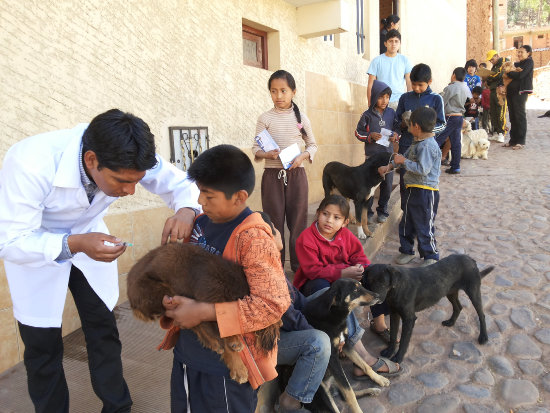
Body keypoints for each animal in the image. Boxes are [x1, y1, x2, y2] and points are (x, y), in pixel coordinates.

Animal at [128, 241, 282, 384]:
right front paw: (238, 365)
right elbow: (224, 332)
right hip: (164, 291)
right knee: (195, 323)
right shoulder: (210, 303)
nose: (272, 344)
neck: (232, 283)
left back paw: (212, 342)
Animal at [294, 276, 388, 412]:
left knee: (344, 395)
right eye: (355, 290)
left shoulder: (346, 345)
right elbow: (349, 392)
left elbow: (365, 365)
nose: (378, 296)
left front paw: (379, 378)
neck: (334, 312)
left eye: (361, 285)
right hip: (321, 393)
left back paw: (372, 390)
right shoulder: (332, 358)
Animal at [362, 254, 496, 364]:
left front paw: (398, 358)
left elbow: (404, 341)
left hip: (473, 291)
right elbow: (393, 336)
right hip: (450, 291)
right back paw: (451, 322)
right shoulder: (394, 314)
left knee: (481, 314)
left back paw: (483, 337)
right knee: (458, 307)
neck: (396, 289)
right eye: (370, 281)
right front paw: (390, 351)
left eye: (384, 282)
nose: (377, 298)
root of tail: (470, 259)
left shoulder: (409, 319)